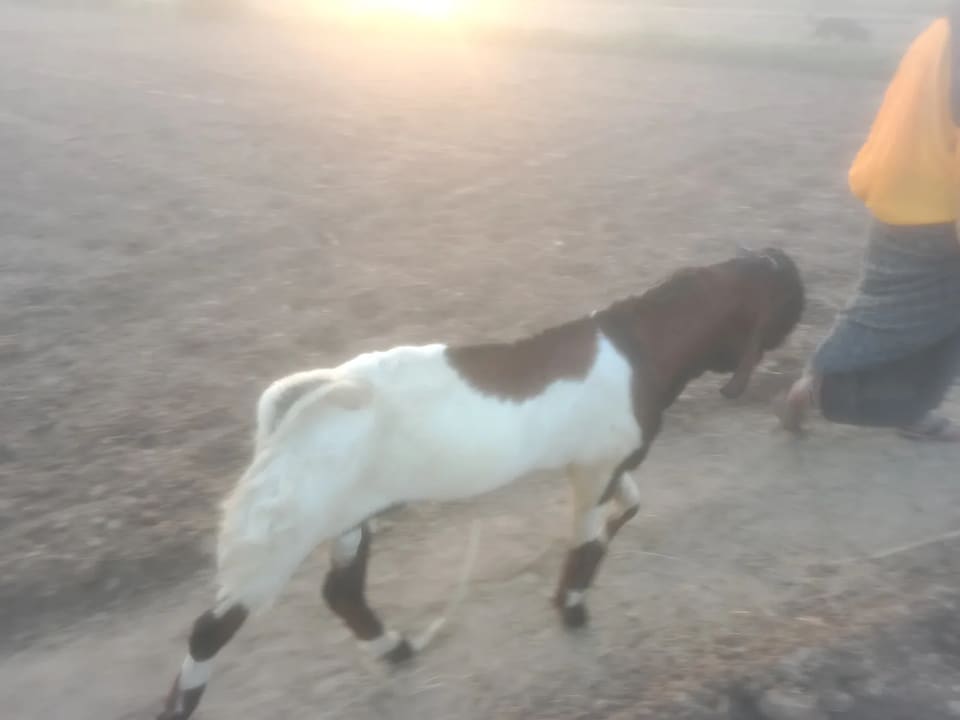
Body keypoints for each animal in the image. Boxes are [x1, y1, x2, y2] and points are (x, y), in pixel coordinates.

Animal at [157, 247, 804, 720]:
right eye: (788, 296)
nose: (804, 292)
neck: (643, 342)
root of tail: (312, 395)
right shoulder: (597, 467)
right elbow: (585, 543)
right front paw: (572, 608)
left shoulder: (601, 464)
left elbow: (625, 510)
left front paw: (586, 574)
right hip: (280, 532)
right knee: (210, 630)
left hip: (345, 516)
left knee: (342, 591)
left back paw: (395, 648)